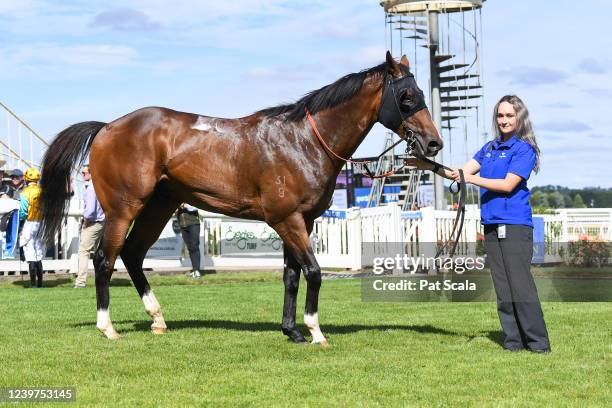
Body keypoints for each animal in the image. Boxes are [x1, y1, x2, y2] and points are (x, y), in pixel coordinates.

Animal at [38, 51, 442, 344]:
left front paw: (291, 330)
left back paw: (157, 318)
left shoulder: (302, 221)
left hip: (158, 206)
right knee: (104, 260)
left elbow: (291, 275)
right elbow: (312, 271)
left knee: (133, 255)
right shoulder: (287, 220)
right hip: (123, 209)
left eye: (422, 94)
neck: (303, 141)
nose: (433, 143)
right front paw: (314, 331)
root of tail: (106, 127)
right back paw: (107, 327)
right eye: (406, 97)